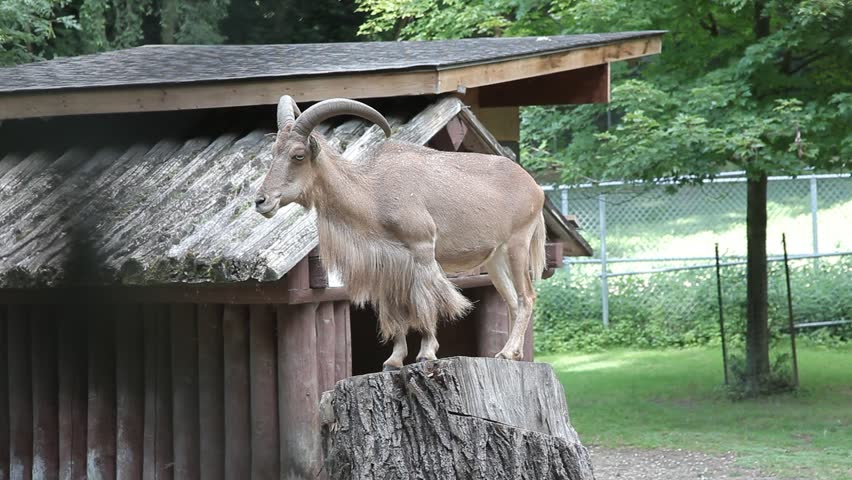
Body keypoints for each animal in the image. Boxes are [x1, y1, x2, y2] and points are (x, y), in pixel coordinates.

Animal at [255, 96, 545, 370]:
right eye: (274, 152)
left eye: (298, 155)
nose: (261, 201)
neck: (372, 193)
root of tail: (536, 188)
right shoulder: (388, 266)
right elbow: (395, 312)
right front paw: (393, 360)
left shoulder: (422, 249)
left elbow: (426, 301)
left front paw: (426, 353)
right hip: (495, 259)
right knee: (512, 300)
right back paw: (513, 353)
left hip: (518, 244)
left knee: (527, 297)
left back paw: (507, 351)